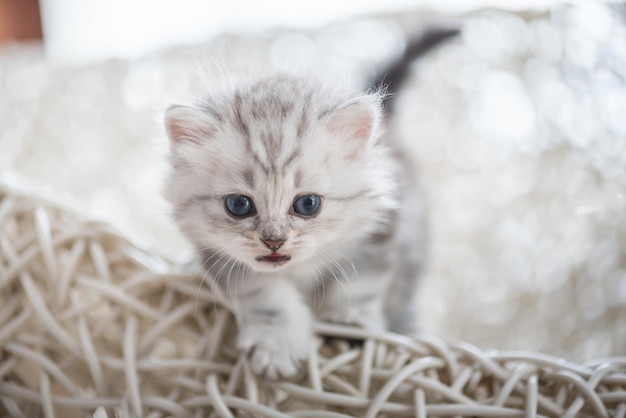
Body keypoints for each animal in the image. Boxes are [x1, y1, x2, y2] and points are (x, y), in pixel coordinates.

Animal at [165, 27, 458, 378]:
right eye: (239, 205)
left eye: (307, 204)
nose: (274, 241)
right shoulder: (218, 254)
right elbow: (265, 296)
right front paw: (276, 344)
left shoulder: (383, 230)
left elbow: (361, 285)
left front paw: (349, 324)